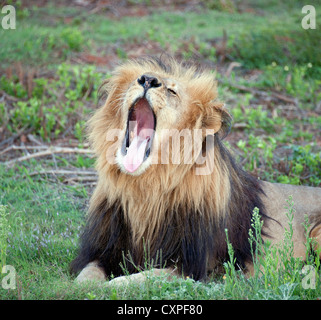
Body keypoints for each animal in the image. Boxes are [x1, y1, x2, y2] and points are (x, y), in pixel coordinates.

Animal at [70, 56, 320, 284]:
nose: (147, 79)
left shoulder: (194, 268)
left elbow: (141, 279)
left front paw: (113, 285)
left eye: (172, 91)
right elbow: (87, 275)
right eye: (136, 79)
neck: (145, 189)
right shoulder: (103, 251)